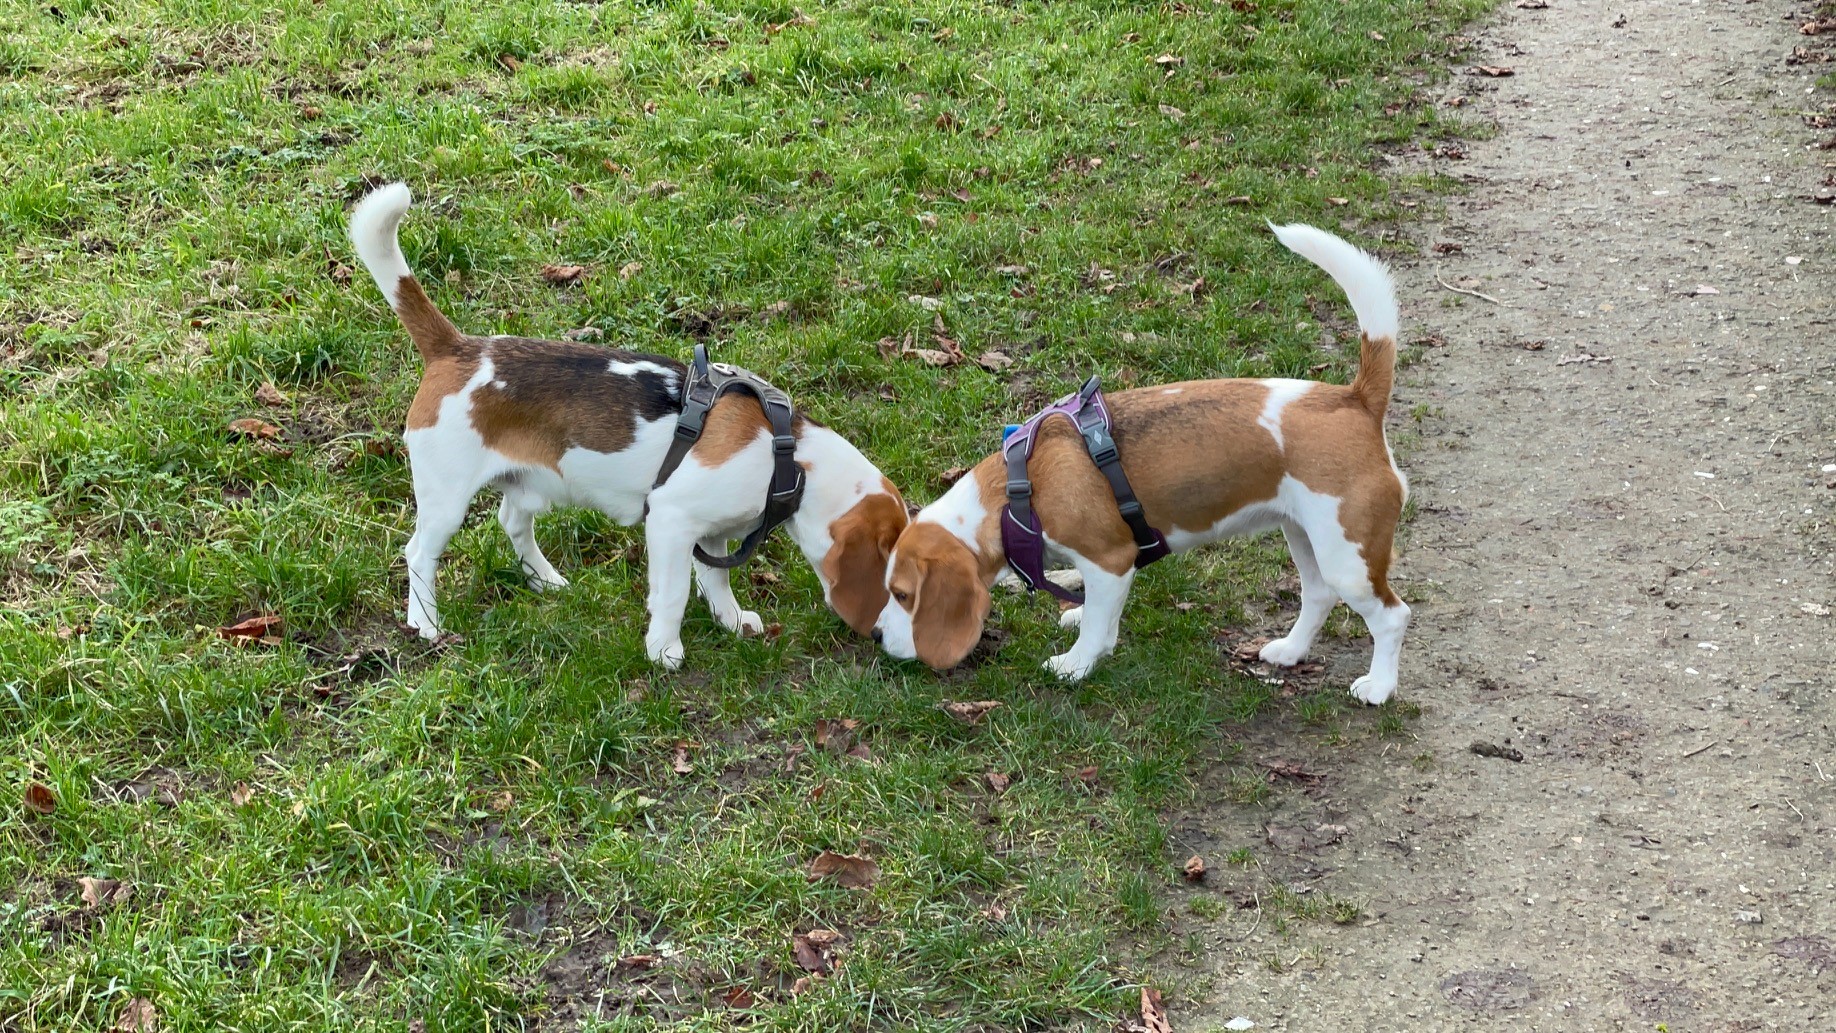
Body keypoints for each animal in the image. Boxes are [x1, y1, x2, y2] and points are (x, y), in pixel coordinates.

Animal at [347, 181, 906, 667]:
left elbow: (717, 582)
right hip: (445, 499)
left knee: (512, 523)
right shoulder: (671, 520)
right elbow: (674, 594)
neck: (789, 459)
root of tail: (456, 348)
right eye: (898, 589)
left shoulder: (712, 534)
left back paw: (544, 580)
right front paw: (664, 651)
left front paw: (729, 621)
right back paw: (425, 623)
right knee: (419, 554)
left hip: (524, 484)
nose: (885, 637)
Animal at [870, 226, 1402, 708]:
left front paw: (1074, 664)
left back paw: (1379, 687)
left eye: (903, 595)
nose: (874, 635)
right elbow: (1097, 616)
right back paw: (1290, 651)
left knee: (1392, 617)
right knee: (1318, 596)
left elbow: (1097, 631)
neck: (1017, 491)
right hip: (1306, 537)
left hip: (1348, 557)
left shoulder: (1111, 563)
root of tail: (1355, 399)